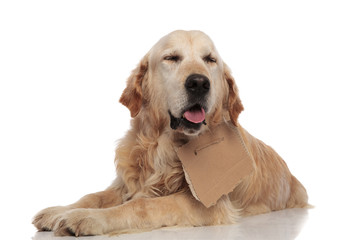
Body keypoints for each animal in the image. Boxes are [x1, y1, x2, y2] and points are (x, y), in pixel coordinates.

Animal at [33, 30, 308, 236]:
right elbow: (94, 196)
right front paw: (60, 210)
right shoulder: (125, 183)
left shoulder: (207, 205)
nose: (199, 83)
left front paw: (87, 218)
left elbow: (141, 205)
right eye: (171, 57)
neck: (164, 146)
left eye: (210, 60)